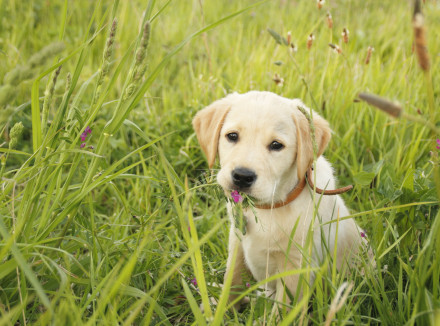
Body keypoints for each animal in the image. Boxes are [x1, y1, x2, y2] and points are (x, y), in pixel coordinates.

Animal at [194, 91, 366, 310]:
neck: (269, 206)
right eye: (232, 136)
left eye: (276, 145)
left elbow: (283, 309)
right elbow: (232, 280)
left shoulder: (295, 266)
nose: (242, 176)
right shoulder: (237, 243)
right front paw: (221, 309)